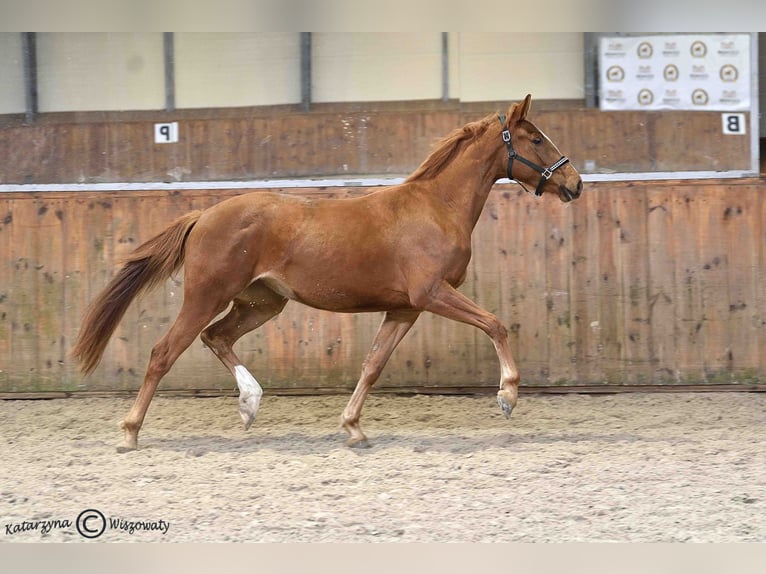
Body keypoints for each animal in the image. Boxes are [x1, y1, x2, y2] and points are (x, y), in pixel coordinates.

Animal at [72, 94, 583, 451]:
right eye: (537, 138)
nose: (574, 183)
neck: (436, 208)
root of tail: (203, 216)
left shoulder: (404, 309)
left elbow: (373, 366)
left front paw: (353, 428)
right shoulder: (431, 294)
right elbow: (496, 324)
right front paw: (508, 396)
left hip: (261, 303)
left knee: (215, 338)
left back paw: (249, 404)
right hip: (206, 297)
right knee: (164, 352)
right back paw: (130, 432)